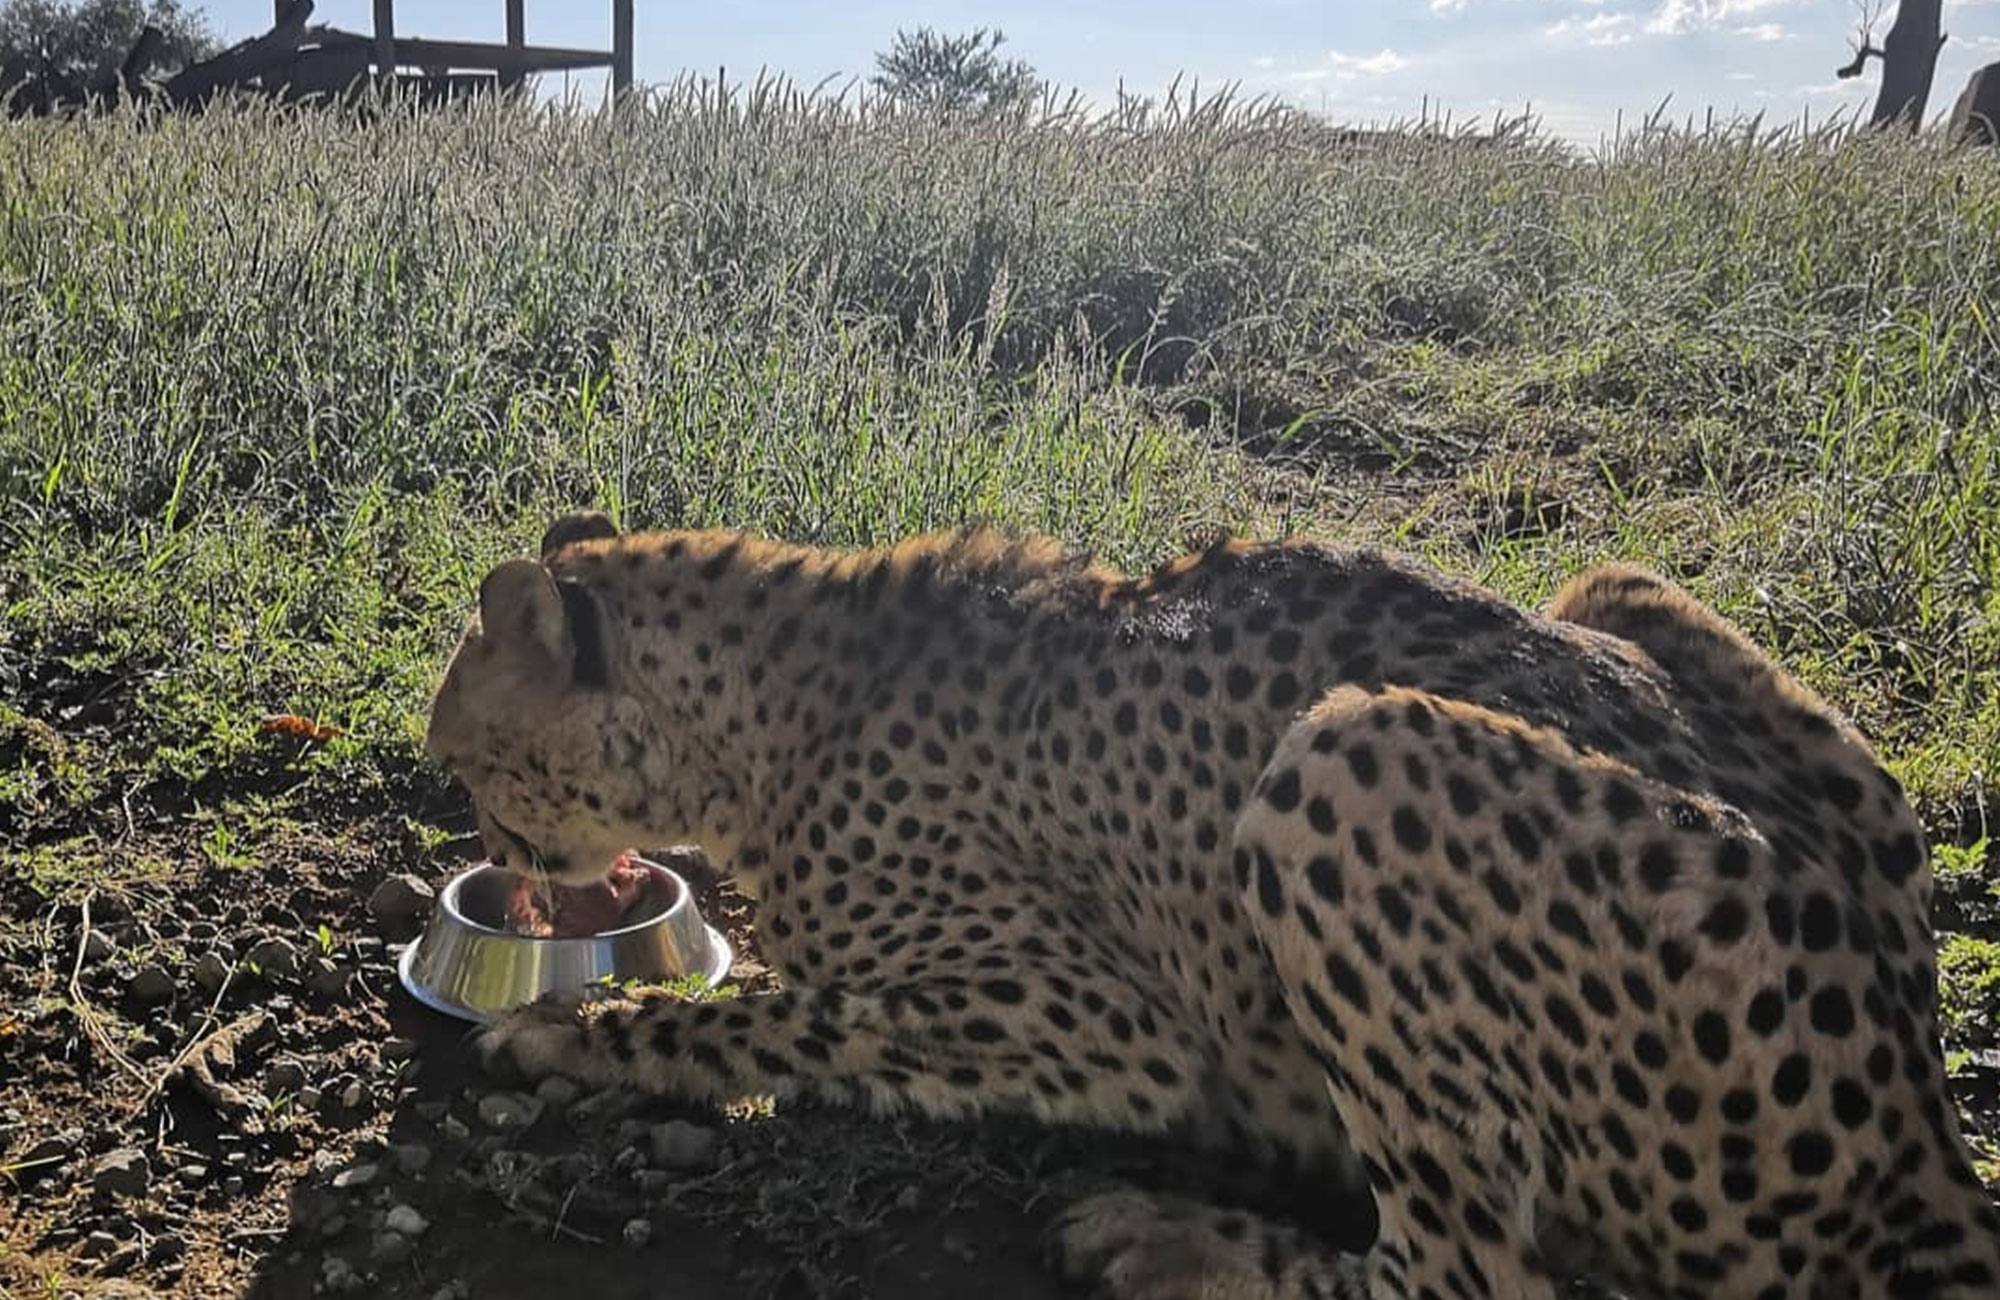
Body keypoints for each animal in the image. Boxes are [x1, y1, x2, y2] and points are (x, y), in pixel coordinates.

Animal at [422, 509, 2000, 1300]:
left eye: (468, 762)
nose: (497, 851)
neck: (773, 690)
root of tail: (1926, 1148)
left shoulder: (1094, 1027)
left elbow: (783, 1012)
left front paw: (580, 1029)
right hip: (1615, 588)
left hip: (1349, 751)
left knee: (1472, 1278)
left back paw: (1173, 1240)